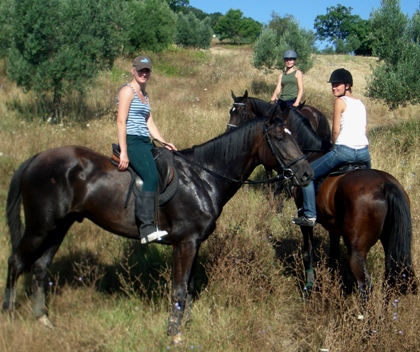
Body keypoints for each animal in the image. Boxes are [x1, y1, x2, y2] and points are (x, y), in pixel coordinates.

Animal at [2, 114, 312, 340]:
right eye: (279, 138)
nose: (306, 174)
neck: (204, 176)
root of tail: (35, 159)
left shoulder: (194, 244)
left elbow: (188, 287)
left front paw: (184, 325)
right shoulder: (185, 243)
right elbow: (178, 289)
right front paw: (174, 333)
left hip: (58, 227)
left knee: (40, 268)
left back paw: (42, 319)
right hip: (41, 227)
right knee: (16, 261)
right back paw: (9, 315)